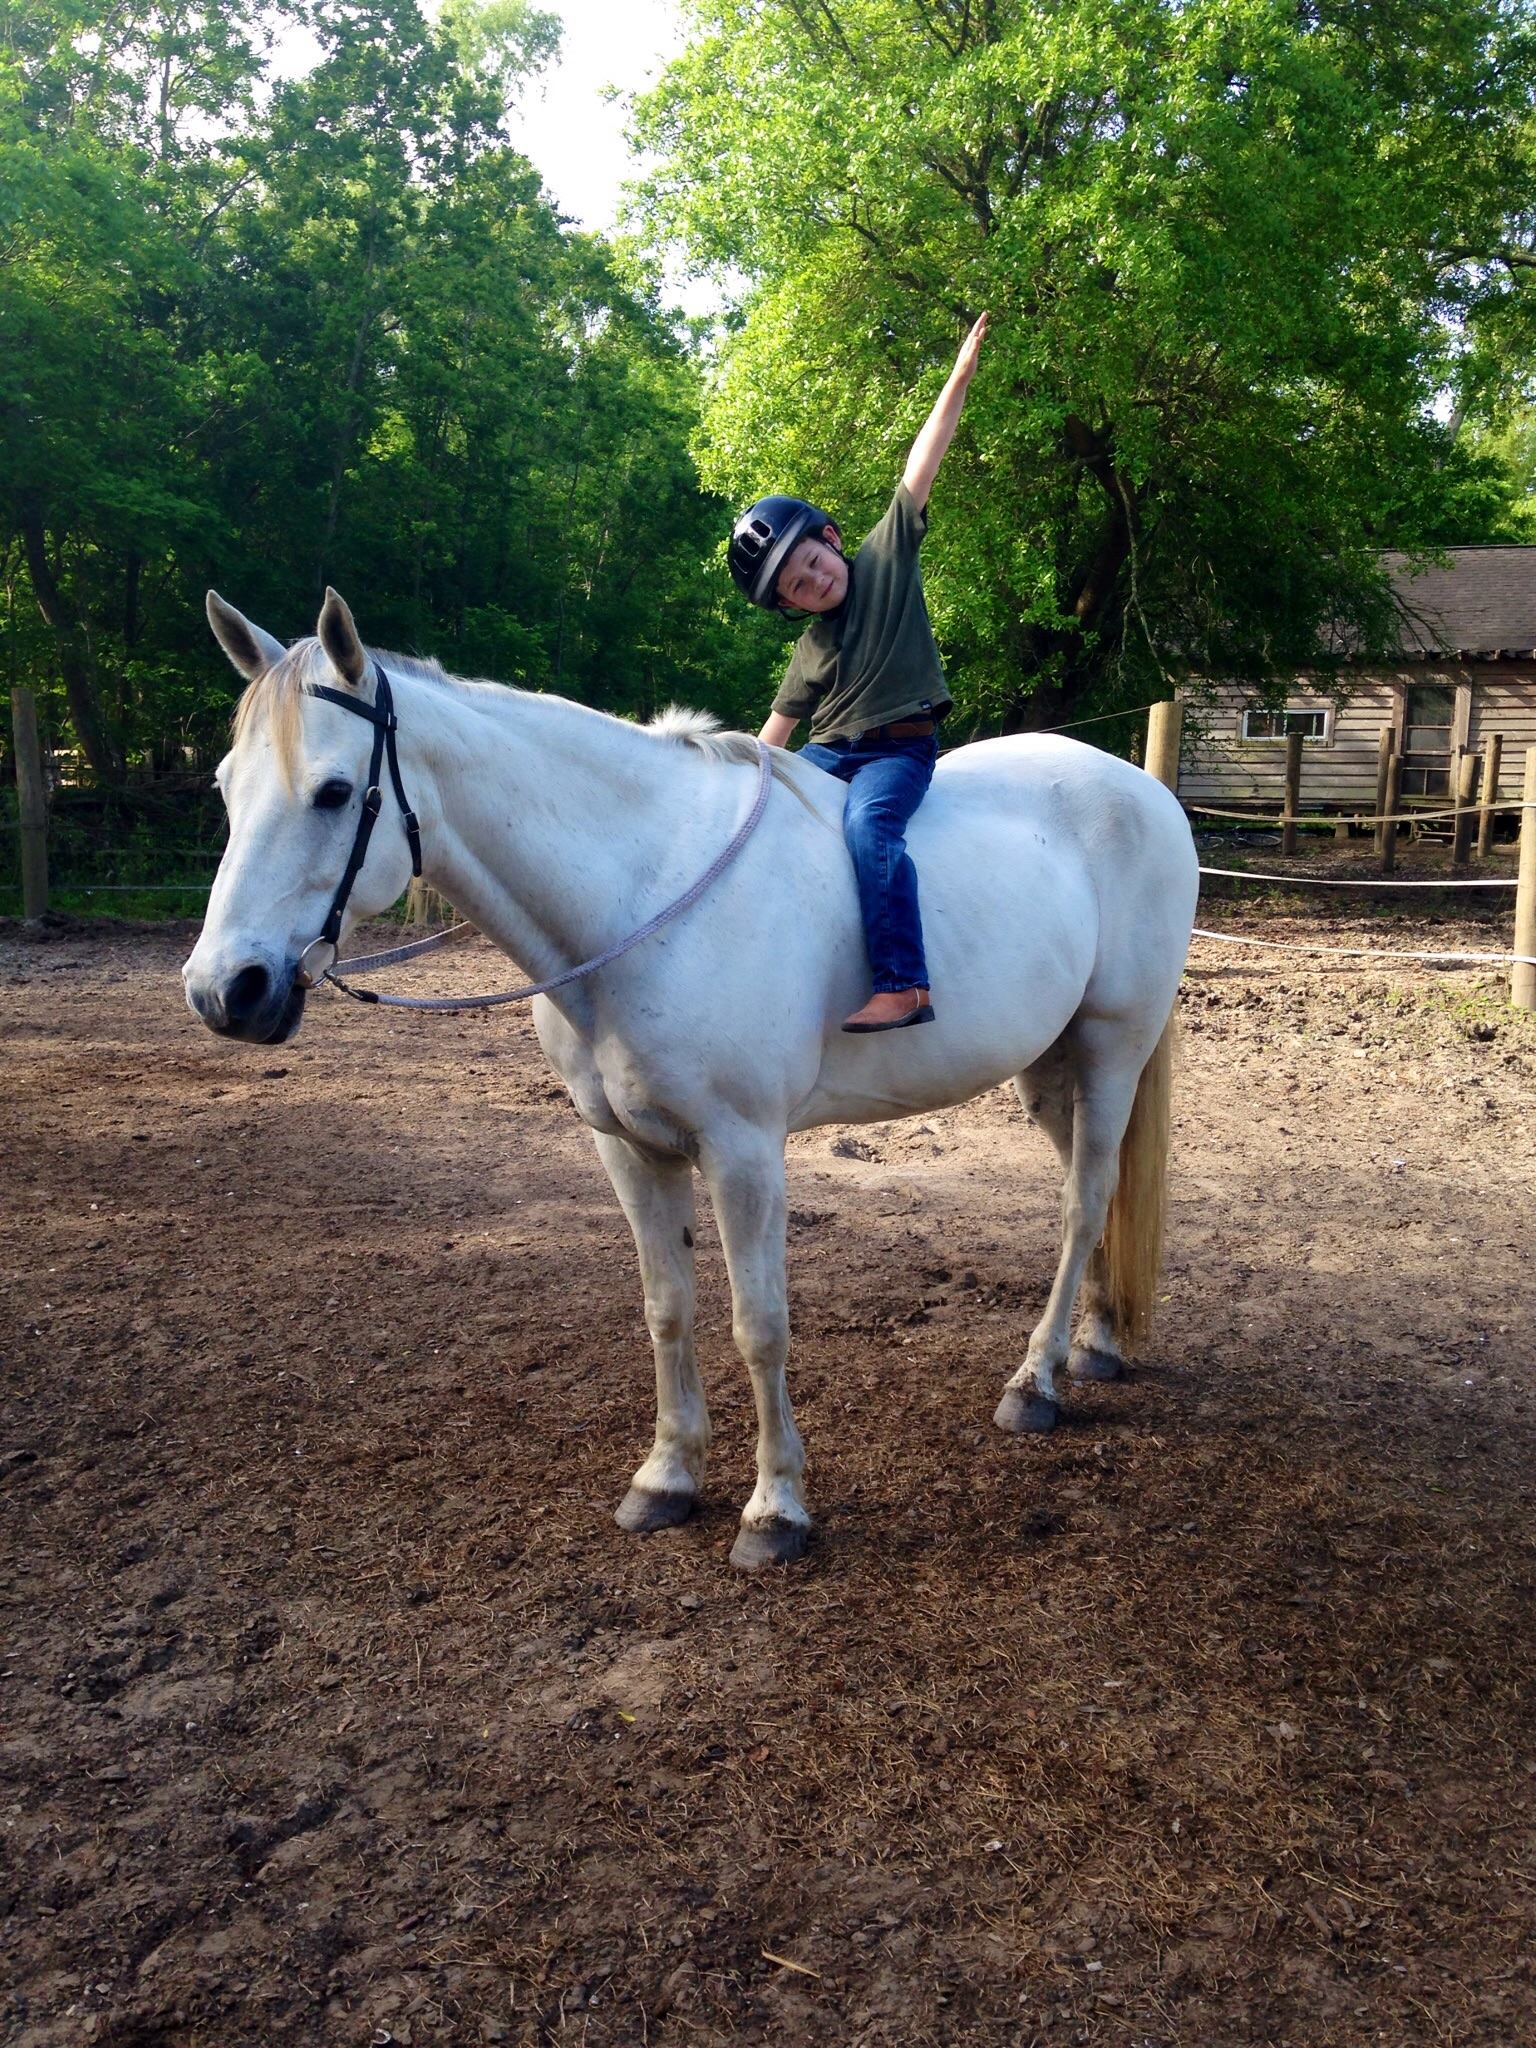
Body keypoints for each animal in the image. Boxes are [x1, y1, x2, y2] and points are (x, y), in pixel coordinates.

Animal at [183, 588, 1199, 1569]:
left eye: (333, 791)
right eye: (225, 788)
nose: (225, 990)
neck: (637, 894)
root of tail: (1143, 790)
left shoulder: (743, 1151)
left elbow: (760, 1323)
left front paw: (775, 1508)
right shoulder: (629, 1149)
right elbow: (666, 1308)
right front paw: (667, 1478)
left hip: (1111, 1047)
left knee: (1084, 1200)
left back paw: (1035, 1383)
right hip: (1049, 1069)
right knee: (1098, 1195)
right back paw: (1094, 1344)